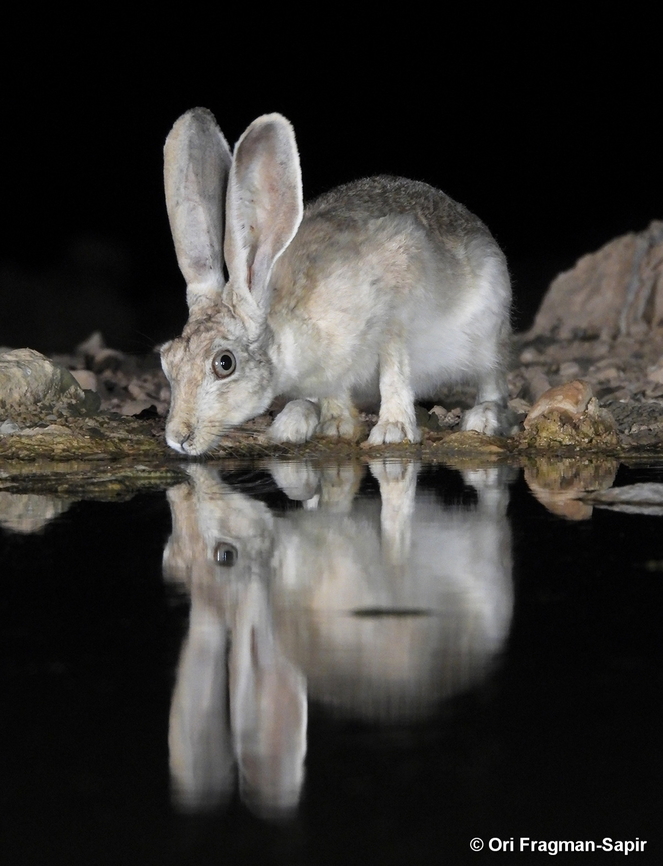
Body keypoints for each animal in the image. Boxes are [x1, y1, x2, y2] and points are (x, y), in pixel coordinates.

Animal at [160, 107, 512, 455]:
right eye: (166, 360)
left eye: (225, 363)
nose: (177, 439)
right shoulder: (331, 371)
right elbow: (335, 393)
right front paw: (335, 426)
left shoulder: (395, 308)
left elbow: (394, 370)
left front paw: (392, 431)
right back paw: (294, 419)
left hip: (488, 329)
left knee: (492, 380)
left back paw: (483, 418)